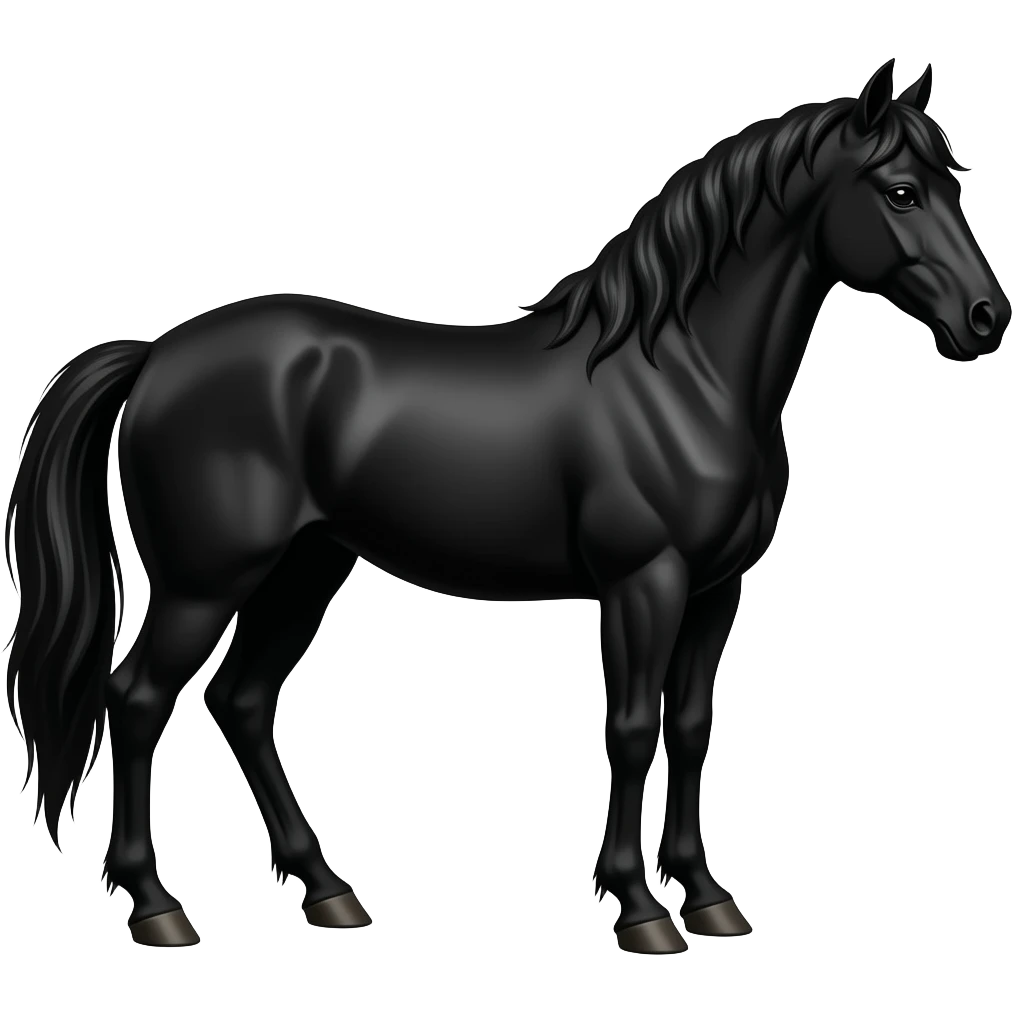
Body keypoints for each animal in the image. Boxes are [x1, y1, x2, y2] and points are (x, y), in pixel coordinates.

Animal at [2, 58, 1007, 953]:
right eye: (899, 191)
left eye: (952, 181)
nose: (985, 319)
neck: (681, 374)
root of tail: (157, 353)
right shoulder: (644, 584)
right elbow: (630, 730)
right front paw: (639, 910)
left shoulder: (716, 590)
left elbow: (689, 727)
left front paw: (710, 898)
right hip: (204, 581)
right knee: (136, 700)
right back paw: (156, 907)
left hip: (306, 565)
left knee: (242, 700)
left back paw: (328, 892)